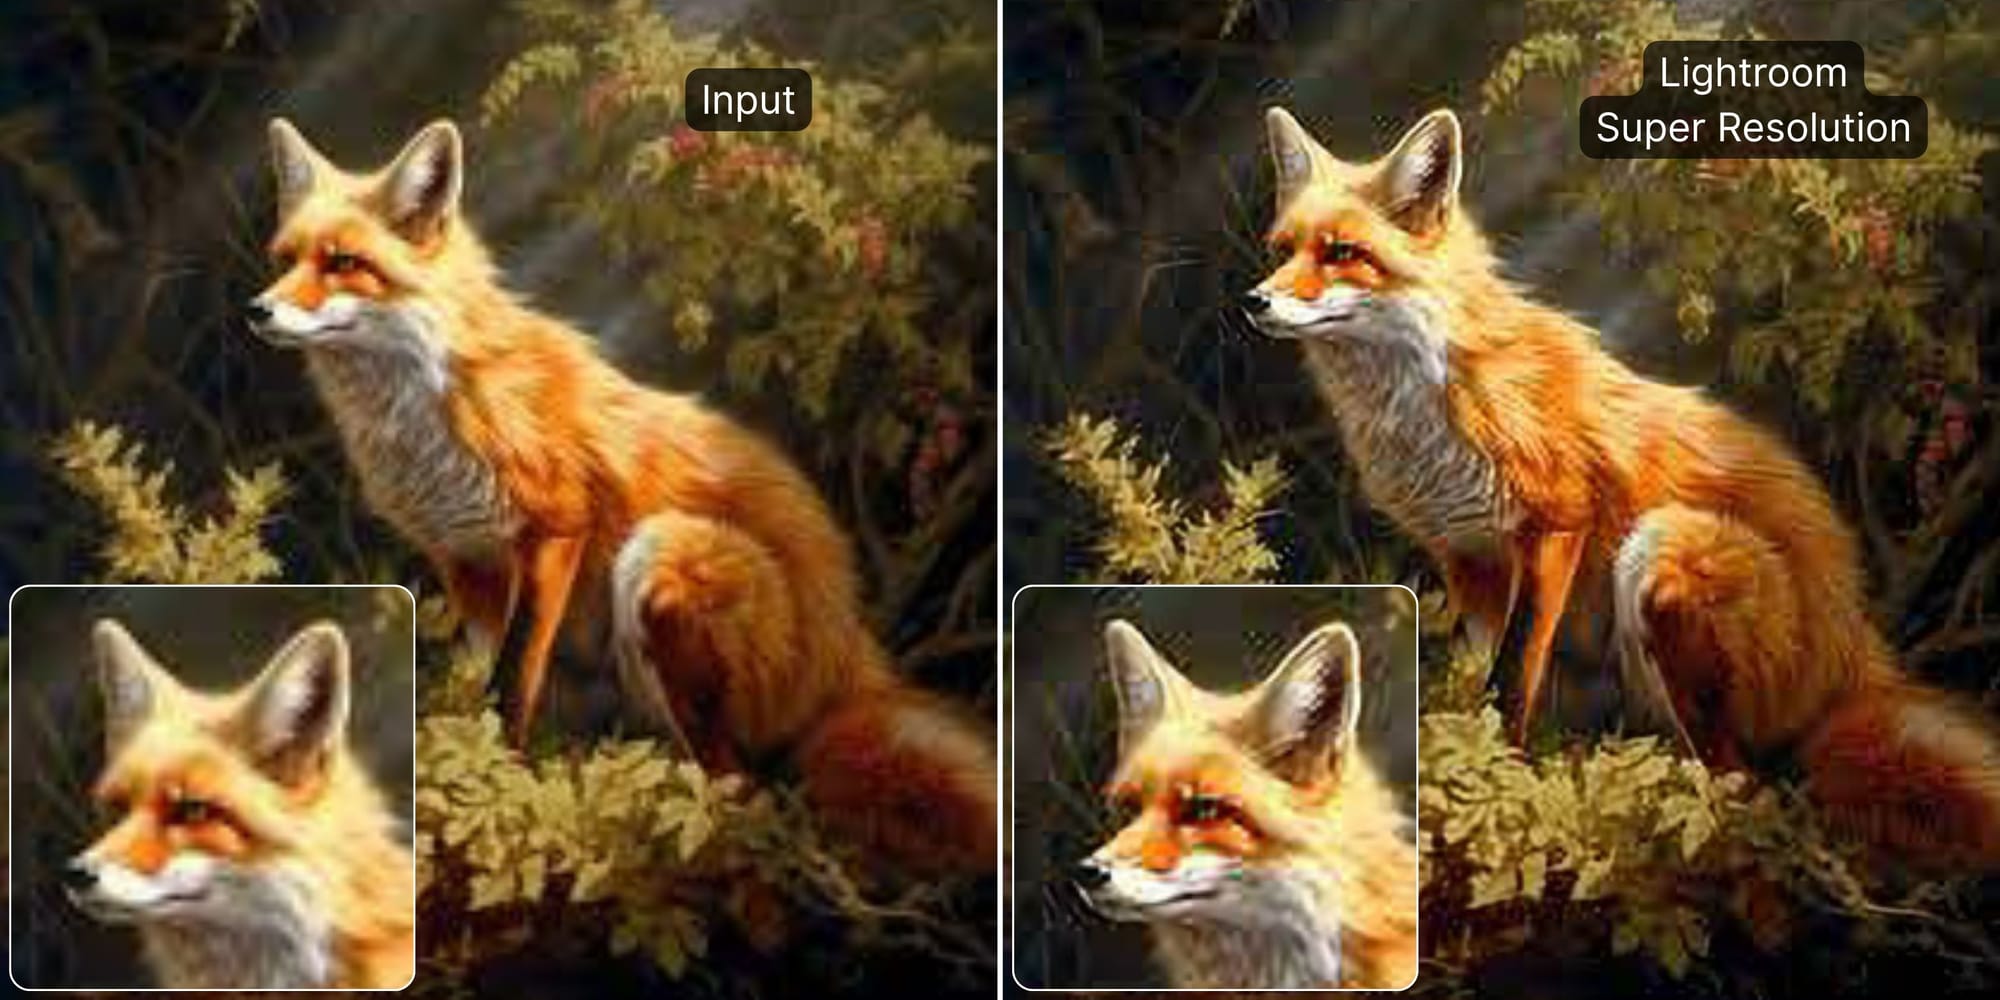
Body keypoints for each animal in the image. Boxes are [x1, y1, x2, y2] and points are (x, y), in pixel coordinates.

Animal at [244, 118, 995, 874]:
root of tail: (849, 639)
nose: (256, 309)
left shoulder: (554, 527)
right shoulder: (463, 560)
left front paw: (499, 783)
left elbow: (512, 682)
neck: (428, 410)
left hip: (660, 557)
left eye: (342, 262)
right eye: (284, 258)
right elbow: (495, 679)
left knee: (744, 786)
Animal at [1242, 105, 2000, 870]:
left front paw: (1497, 782)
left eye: (1341, 252)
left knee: (1747, 783)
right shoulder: (1465, 556)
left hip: (1662, 551)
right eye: (1281, 249)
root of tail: (1855, 639)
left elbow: (1511, 680)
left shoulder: (1555, 521)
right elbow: (1495, 676)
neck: (1428, 403)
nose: (1255, 301)